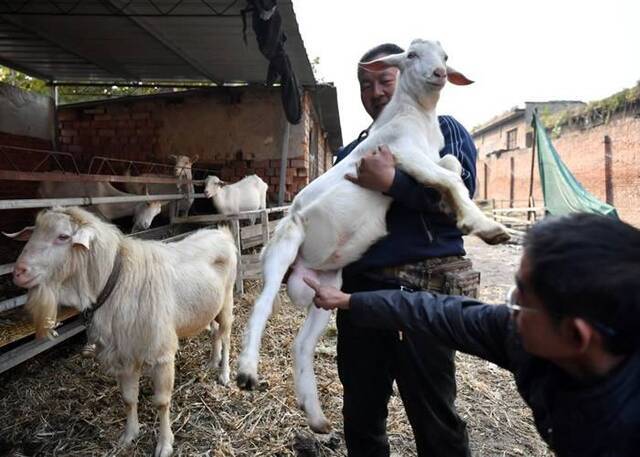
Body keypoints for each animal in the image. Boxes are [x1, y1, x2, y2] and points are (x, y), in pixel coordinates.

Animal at [6, 208, 238, 456]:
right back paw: (212, 362)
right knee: (214, 333)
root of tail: (221, 233)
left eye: (63, 236)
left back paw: (224, 374)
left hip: (227, 300)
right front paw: (129, 436)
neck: (116, 281)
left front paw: (164, 444)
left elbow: (162, 402)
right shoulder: (122, 353)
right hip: (208, 308)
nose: (18, 272)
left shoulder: (161, 354)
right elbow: (128, 399)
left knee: (226, 335)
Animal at [235, 39, 510, 432]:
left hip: (327, 286)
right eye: (411, 55)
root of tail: (302, 266)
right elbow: (451, 177)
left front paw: (454, 209)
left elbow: (455, 167)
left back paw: (317, 418)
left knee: (302, 344)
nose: (440, 73)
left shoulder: (428, 157)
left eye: (446, 57)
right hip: (283, 246)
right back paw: (246, 372)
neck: (418, 119)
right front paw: (483, 225)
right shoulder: (403, 152)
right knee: (261, 305)